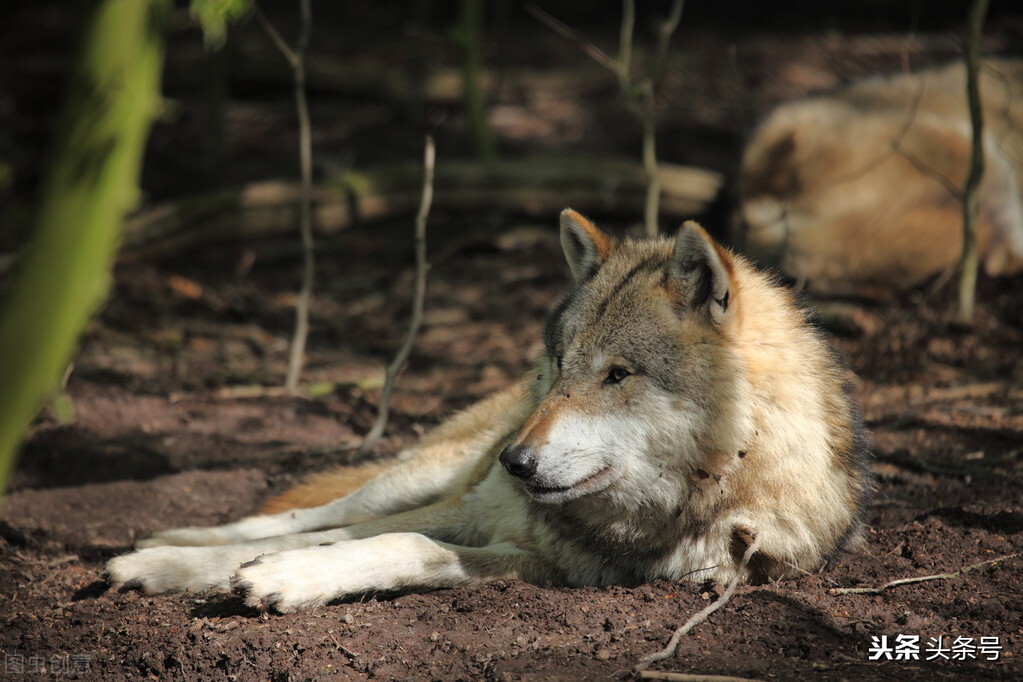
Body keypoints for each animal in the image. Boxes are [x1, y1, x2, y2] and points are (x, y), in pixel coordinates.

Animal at [105, 209, 871, 613]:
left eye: (617, 375)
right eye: (559, 366)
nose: (515, 461)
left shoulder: (556, 569)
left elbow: (402, 548)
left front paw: (283, 580)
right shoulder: (474, 506)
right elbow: (328, 535)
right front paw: (184, 566)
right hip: (426, 477)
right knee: (306, 512)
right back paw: (169, 541)